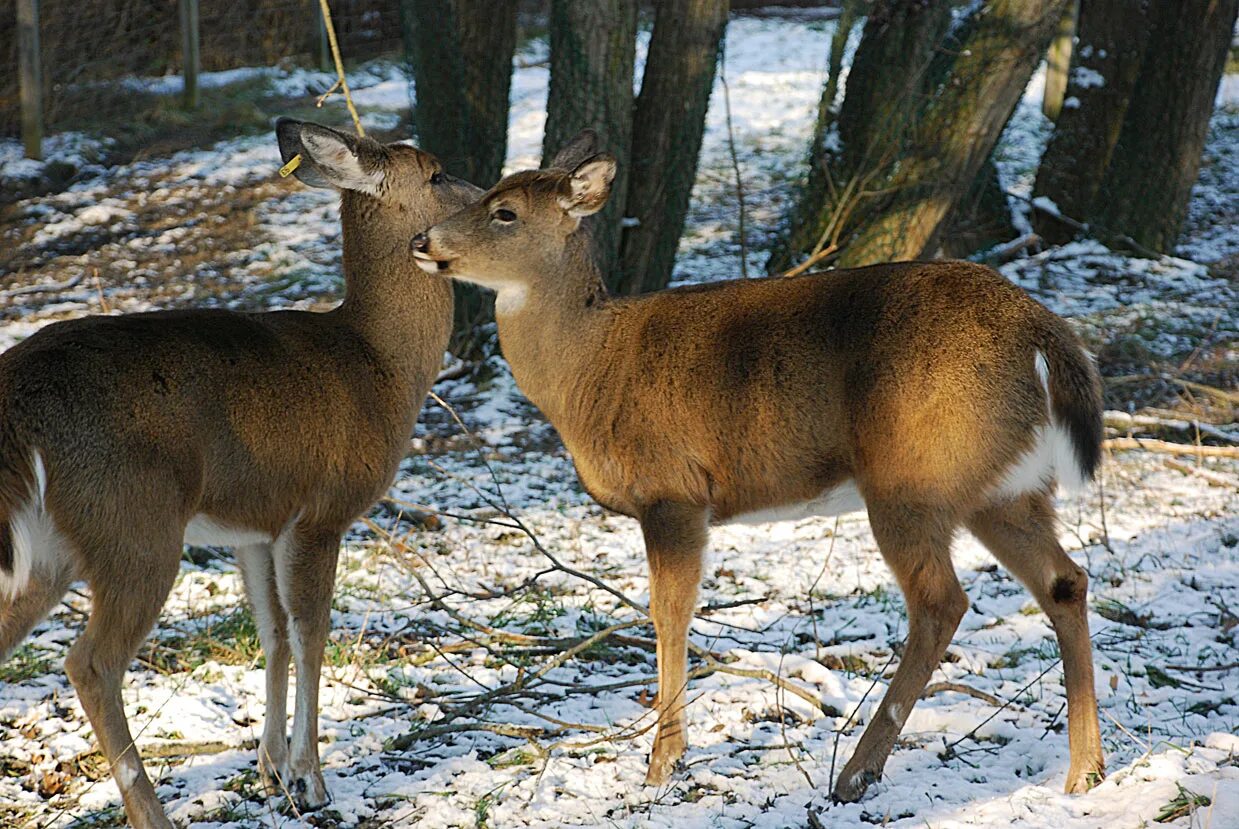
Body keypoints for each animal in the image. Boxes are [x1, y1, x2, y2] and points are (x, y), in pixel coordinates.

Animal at [0, 117, 488, 827]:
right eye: (436, 172)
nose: (490, 198)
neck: (381, 368)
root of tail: (17, 400)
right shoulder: (321, 508)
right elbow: (312, 632)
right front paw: (311, 779)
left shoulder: (257, 526)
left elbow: (273, 632)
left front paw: (271, 770)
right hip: (135, 522)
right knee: (91, 662)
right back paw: (153, 813)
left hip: (51, 545)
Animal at [411, 150, 1110, 802]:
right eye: (482, 193)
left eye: (505, 212)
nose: (422, 240)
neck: (589, 368)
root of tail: (1041, 335)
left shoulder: (672, 491)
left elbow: (669, 613)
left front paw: (662, 762)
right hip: (1006, 487)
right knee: (1064, 581)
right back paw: (1084, 772)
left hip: (912, 478)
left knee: (942, 602)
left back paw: (857, 772)